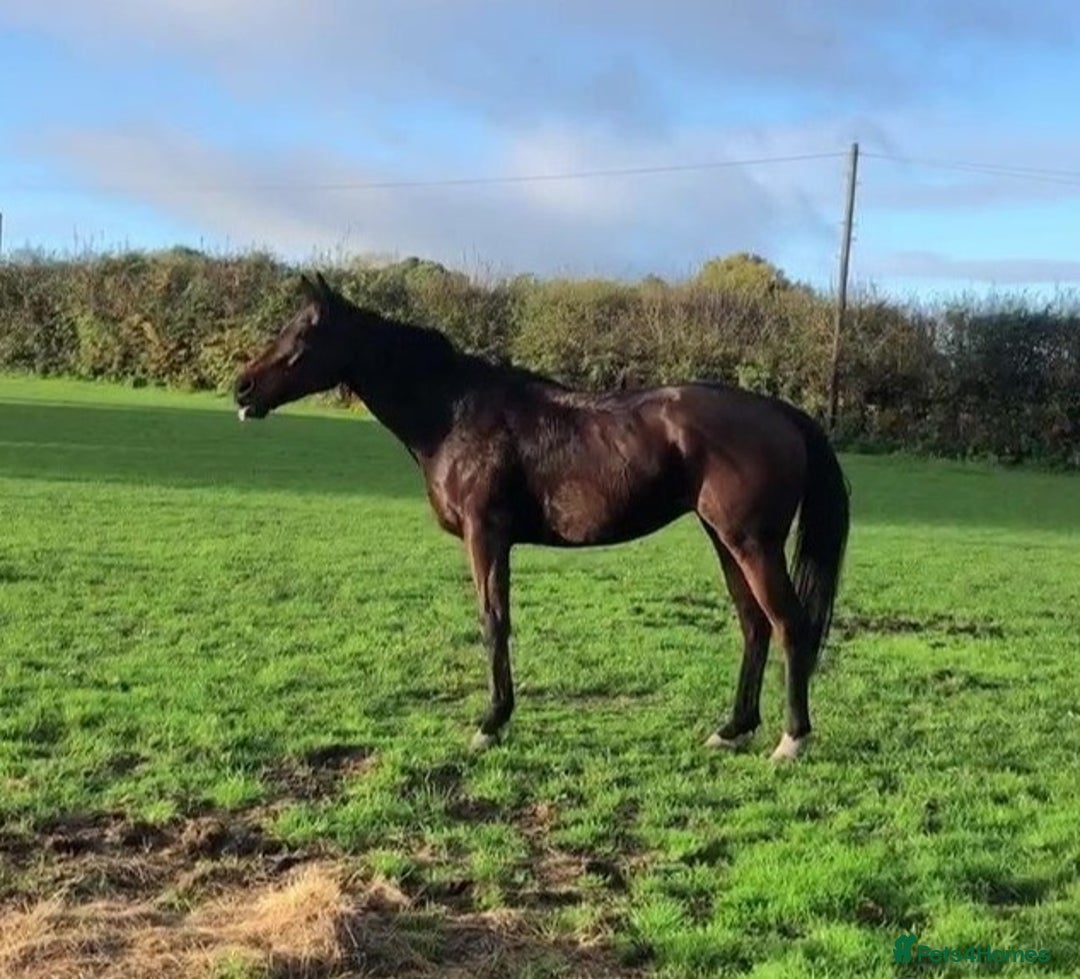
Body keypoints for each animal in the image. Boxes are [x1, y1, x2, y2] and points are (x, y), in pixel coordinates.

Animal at [233, 272, 850, 761]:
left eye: (304, 334)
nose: (242, 388)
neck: (454, 412)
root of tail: (782, 413)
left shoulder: (486, 535)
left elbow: (493, 622)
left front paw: (490, 723)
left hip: (752, 542)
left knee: (789, 624)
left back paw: (792, 739)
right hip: (724, 539)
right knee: (753, 625)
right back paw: (733, 728)